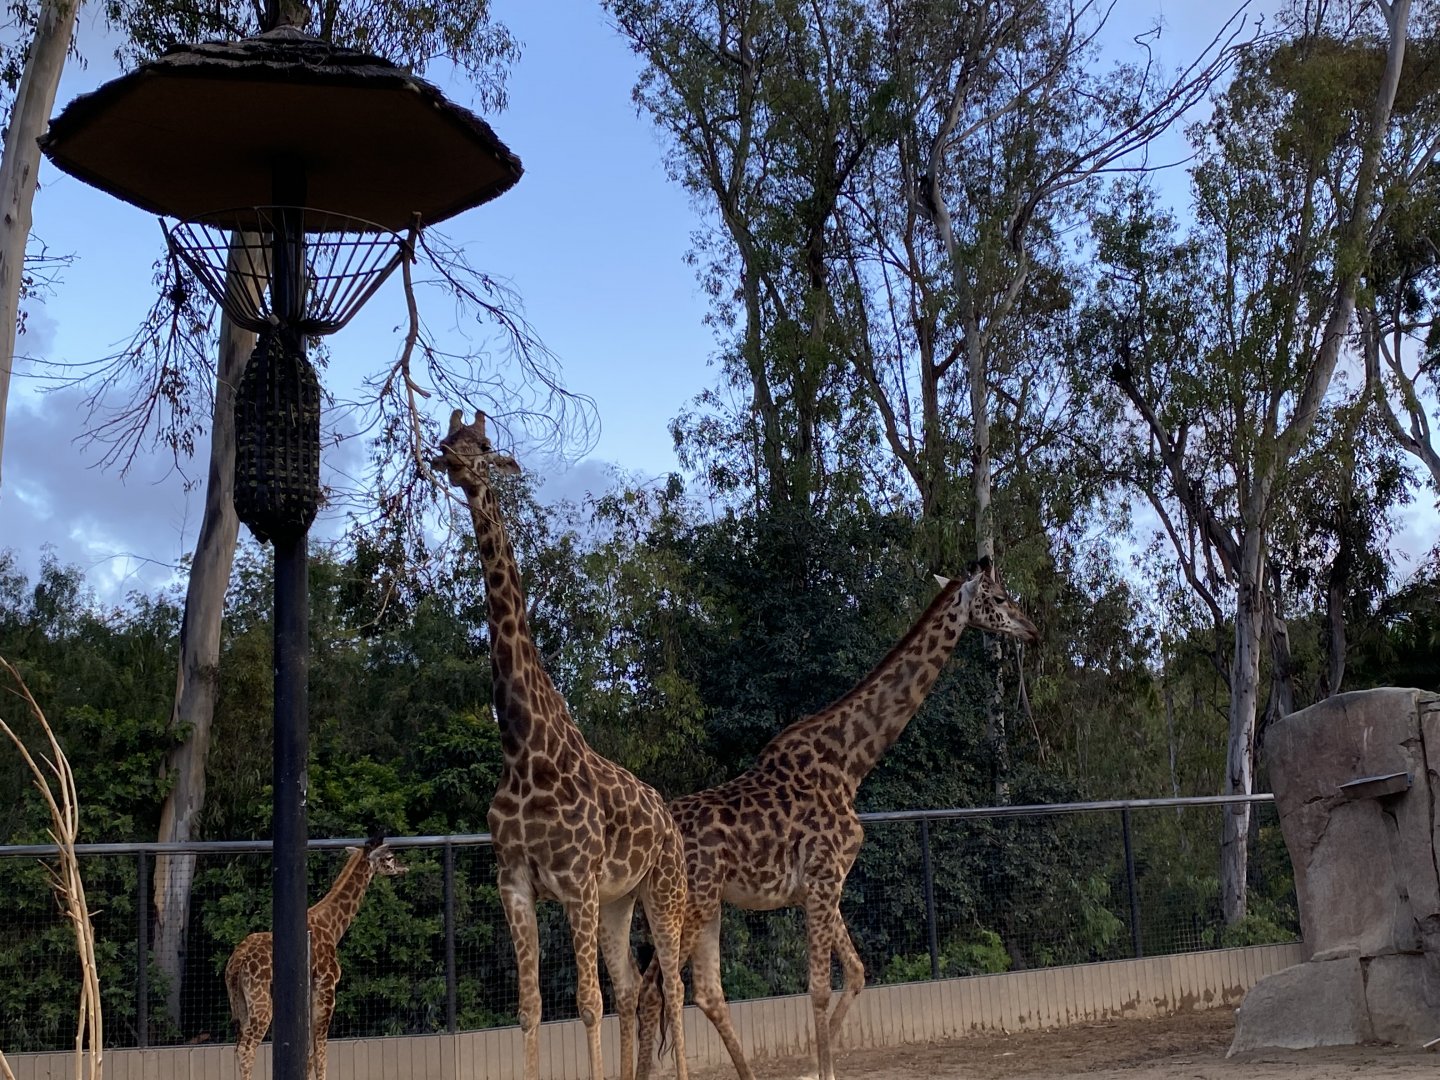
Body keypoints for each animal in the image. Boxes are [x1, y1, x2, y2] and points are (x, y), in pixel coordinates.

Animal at [225, 837, 408, 1080]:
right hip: (261, 1000)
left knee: (238, 1047)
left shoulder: (309, 991)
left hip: (239, 1001)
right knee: (246, 1048)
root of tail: (238, 960)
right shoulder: (327, 987)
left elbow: (309, 1055)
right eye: (389, 857)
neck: (332, 927)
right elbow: (321, 1053)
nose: (404, 867)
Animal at [432, 409, 690, 1080]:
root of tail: (668, 817)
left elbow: (585, 1002)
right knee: (633, 987)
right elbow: (531, 1006)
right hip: (618, 901)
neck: (525, 751)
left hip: (662, 888)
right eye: (449, 437)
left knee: (675, 986)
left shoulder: (576, 882)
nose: (446, 459)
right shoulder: (516, 883)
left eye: (484, 446)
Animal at [635, 559, 1040, 1080]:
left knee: (700, 992)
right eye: (1000, 596)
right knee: (658, 991)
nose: (1032, 630)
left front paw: (818, 1068)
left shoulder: (826, 886)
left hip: (707, 905)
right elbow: (819, 988)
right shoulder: (824, 879)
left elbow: (857, 973)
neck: (850, 765)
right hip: (689, 903)